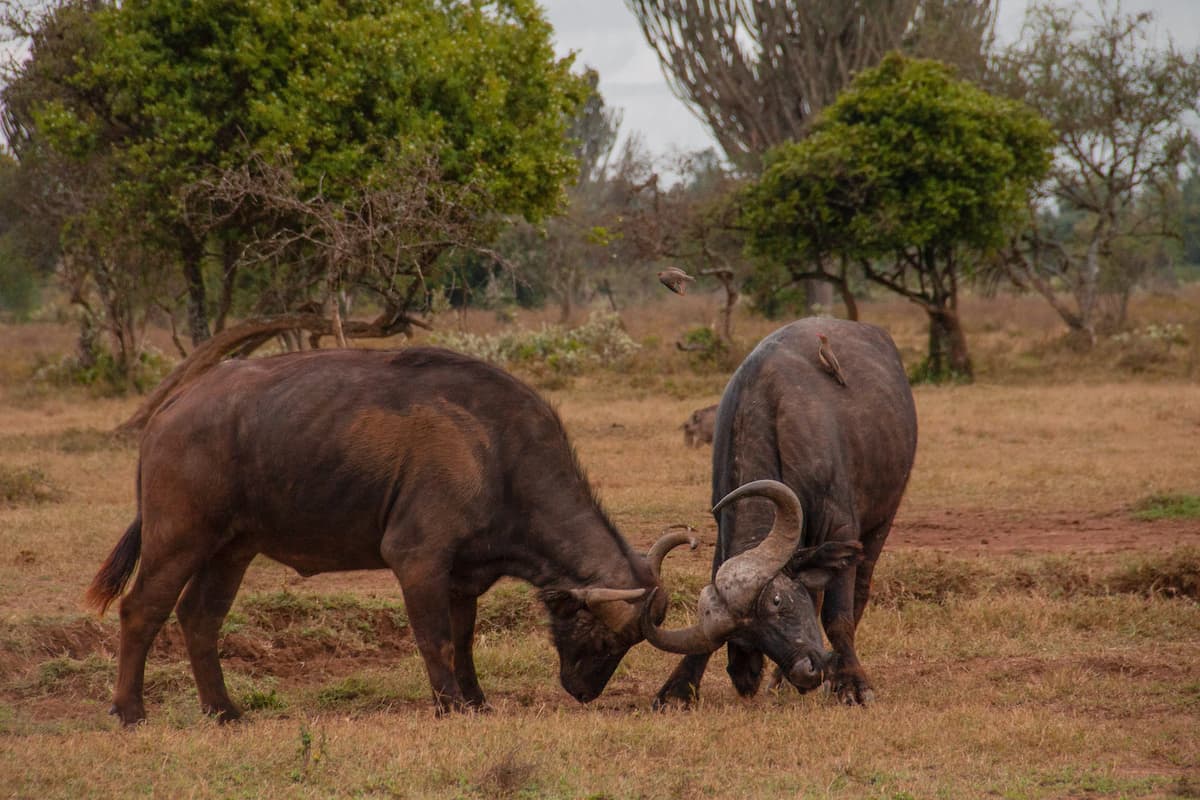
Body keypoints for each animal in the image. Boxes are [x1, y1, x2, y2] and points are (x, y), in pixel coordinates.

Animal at [86, 347, 671, 724]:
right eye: (606, 638)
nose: (584, 691)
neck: (498, 452)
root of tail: (169, 411)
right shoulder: (418, 560)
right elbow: (435, 638)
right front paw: (450, 706)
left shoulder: (461, 576)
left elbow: (463, 640)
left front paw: (476, 700)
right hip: (178, 539)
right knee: (142, 610)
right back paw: (130, 710)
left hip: (232, 550)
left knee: (199, 618)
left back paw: (225, 711)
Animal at [644, 319, 917, 706]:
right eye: (749, 635)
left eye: (776, 600)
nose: (806, 672)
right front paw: (679, 687)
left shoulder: (841, 530)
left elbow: (837, 616)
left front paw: (852, 684)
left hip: (882, 519)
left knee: (859, 593)